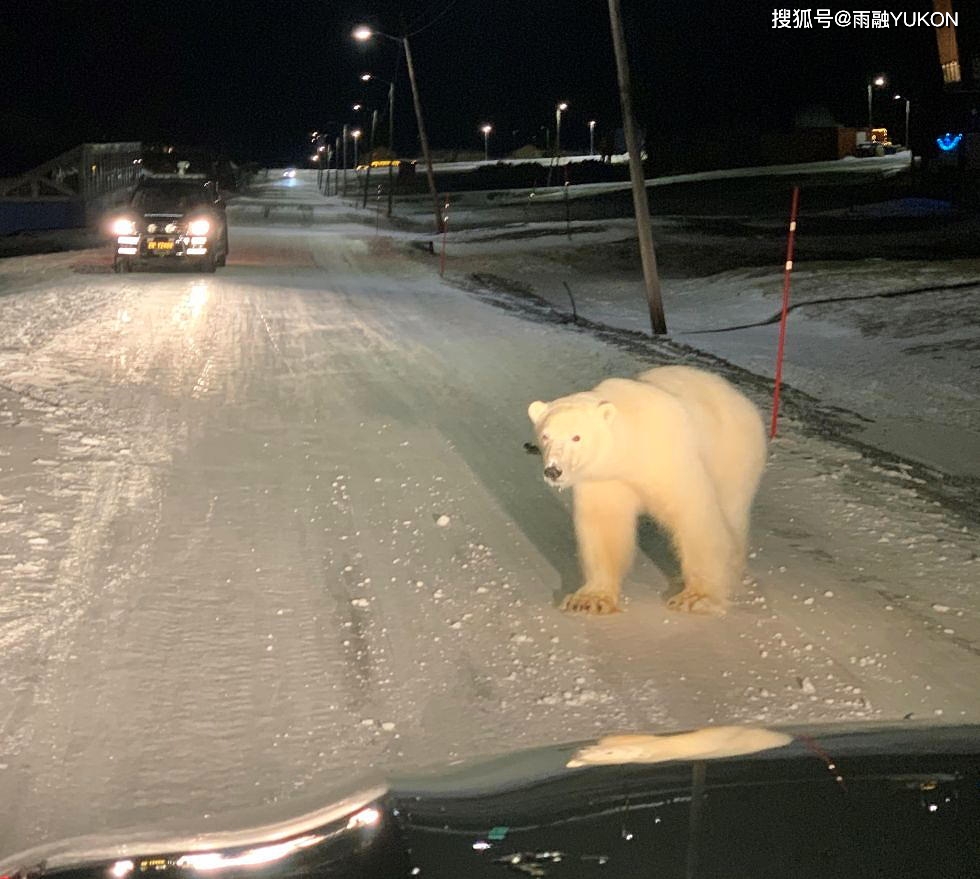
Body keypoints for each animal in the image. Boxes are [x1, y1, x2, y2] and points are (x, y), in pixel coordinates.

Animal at [528, 362, 764, 612]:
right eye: (545, 436)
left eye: (576, 437)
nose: (553, 470)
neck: (631, 442)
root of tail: (739, 398)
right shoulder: (605, 478)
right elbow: (604, 526)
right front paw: (590, 599)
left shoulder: (667, 456)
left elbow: (693, 515)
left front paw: (695, 597)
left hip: (733, 454)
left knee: (732, 512)